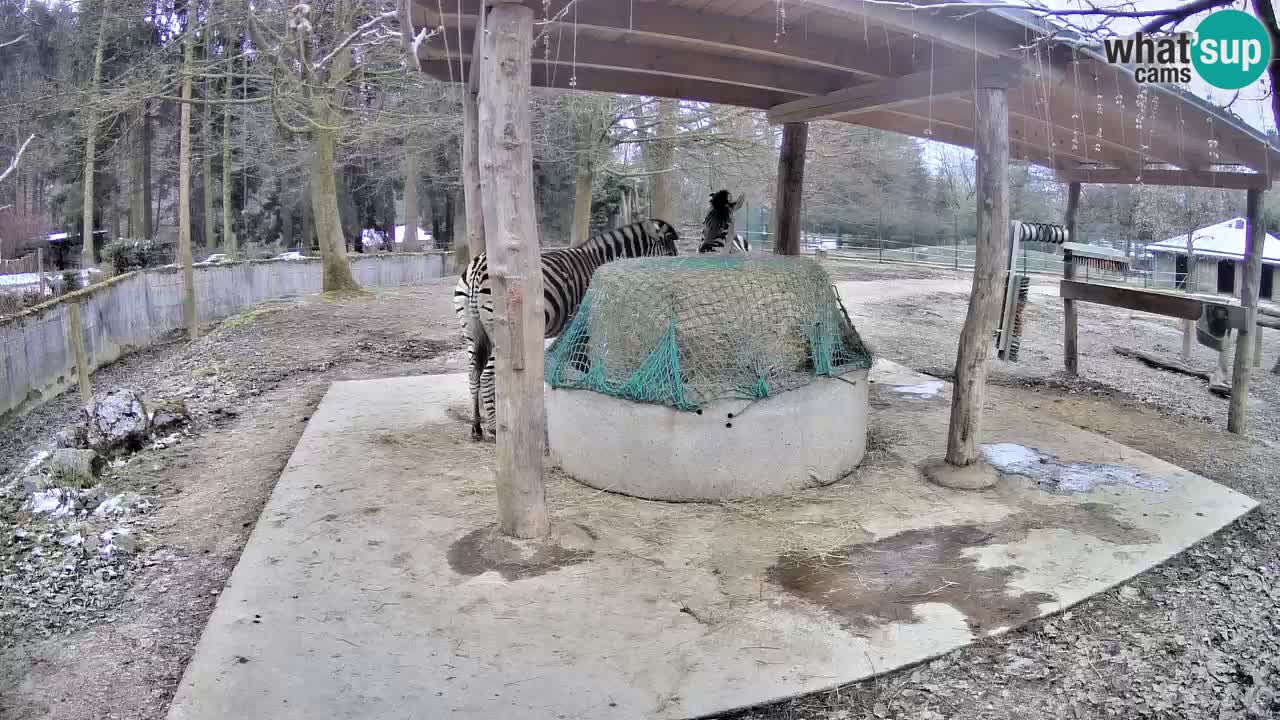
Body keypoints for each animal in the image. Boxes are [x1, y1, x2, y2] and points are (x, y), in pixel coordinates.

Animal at [458, 215, 686, 438]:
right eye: (671, 255)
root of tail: (476, 267)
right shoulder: (586, 320)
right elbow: (584, 357)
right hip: (500, 330)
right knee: (487, 375)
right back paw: (494, 427)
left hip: (472, 330)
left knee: (473, 373)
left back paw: (476, 427)